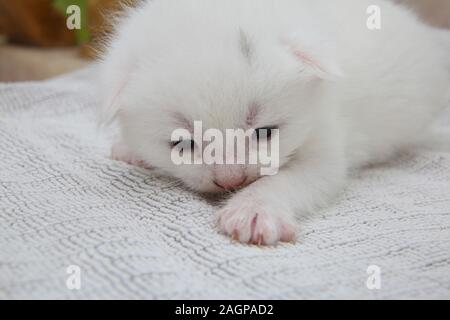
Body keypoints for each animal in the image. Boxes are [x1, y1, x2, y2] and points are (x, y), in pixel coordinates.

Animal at [99, 0, 450, 245]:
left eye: (265, 132)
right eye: (183, 143)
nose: (231, 181)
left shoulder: (324, 133)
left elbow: (298, 177)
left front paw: (254, 210)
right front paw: (131, 150)